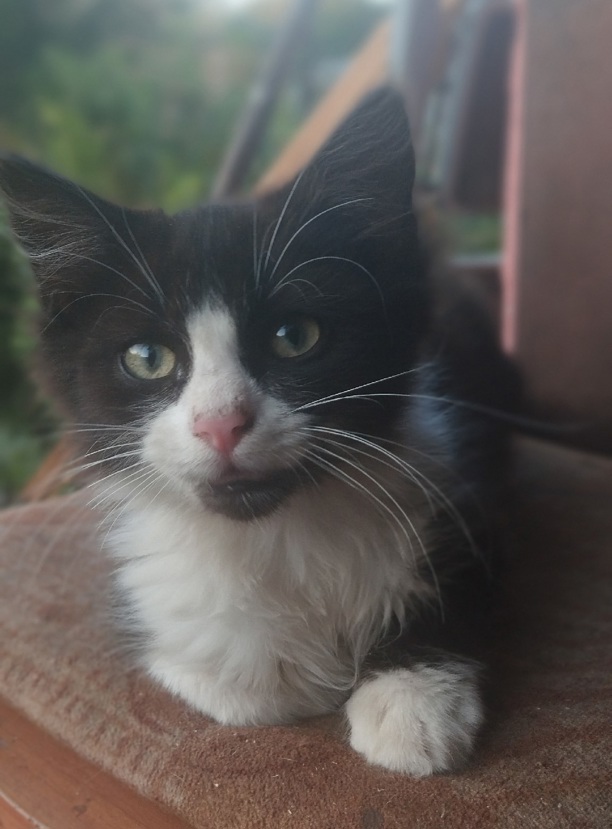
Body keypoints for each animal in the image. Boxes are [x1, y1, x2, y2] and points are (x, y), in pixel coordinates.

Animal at [0, 88, 518, 776]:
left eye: (294, 336)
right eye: (147, 357)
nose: (221, 424)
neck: (274, 534)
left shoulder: (459, 464)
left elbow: (466, 570)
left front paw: (412, 699)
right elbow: (240, 688)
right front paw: (281, 675)